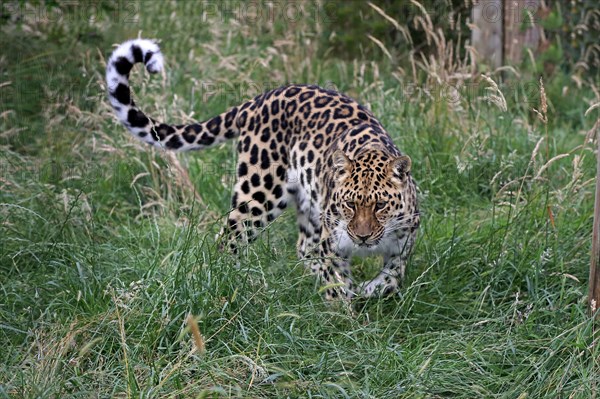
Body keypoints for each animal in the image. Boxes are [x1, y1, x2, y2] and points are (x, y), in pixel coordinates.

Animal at [105, 39, 420, 300]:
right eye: (350, 205)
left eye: (380, 205)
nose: (362, 237)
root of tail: (258, 99)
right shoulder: (332, 245)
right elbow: (337, 284)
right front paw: (345, 319)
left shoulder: (404, 244)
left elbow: (394, 277)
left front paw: (369, 290)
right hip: (258, 194)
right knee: (228, 241)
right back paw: (228, 283)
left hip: (308, 201)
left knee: (303, 247)